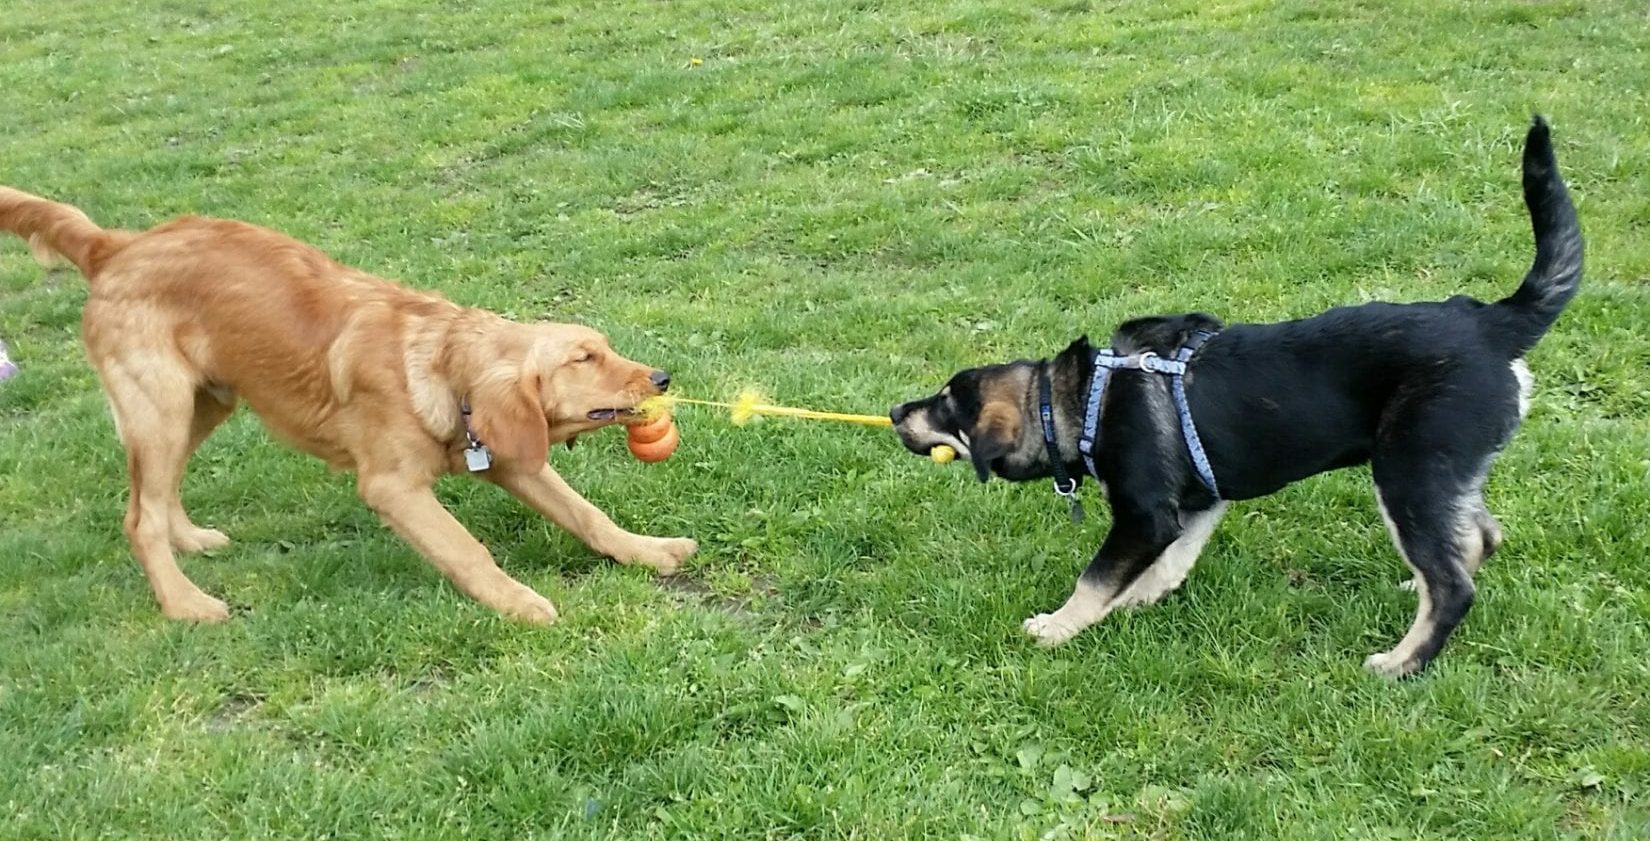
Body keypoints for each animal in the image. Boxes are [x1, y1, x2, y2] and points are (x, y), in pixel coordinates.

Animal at [0, 190, 696, 623]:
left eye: (603, 349)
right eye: (585, 358)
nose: (662, 376)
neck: (436, 364)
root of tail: (114, 246)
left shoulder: (508, 456)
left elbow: (587, 515)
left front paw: (648, 550)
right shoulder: (393, 488)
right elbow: (467, 549)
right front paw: (517, 603)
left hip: (205, 402)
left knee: (156, 492)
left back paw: (190, 542)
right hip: (160, 406)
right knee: (137, 517)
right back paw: (185, 605)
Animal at [897, 119, 1577, 676]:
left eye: (946, 404)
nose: (897, 412)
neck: (1082, 400)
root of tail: (1491, 324)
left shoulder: (1145, 514)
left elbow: (1096, 577)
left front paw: (1056, 628)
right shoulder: (1196, 502)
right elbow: (1170, 563)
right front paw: (1137, 602)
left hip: (1410, 469)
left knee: (1455, 584)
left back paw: (1401, 662)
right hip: (1446, 472)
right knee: (1475, 538)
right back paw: (1421, 585)